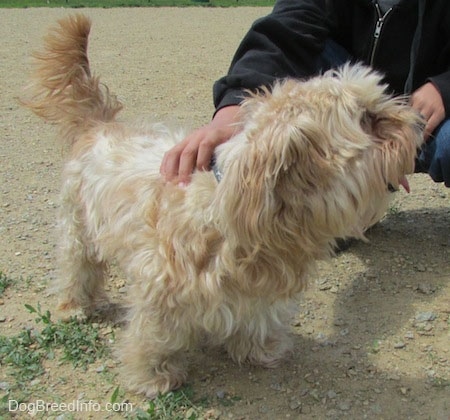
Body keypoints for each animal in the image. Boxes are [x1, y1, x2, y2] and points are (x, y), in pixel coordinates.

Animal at [22, 14, 424, 398]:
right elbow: (152, 338)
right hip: (77, 228)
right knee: (77, 269)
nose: (419, 120)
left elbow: (257, 318)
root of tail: (99, 125)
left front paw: (259, 348)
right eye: (368, 119)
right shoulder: (159, 291)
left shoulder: (260, 290)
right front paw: (153, 377)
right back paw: (74, 307)